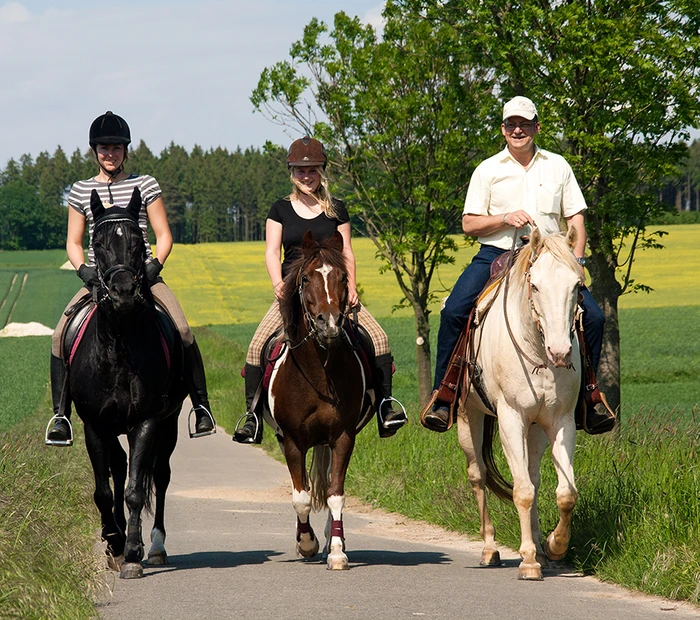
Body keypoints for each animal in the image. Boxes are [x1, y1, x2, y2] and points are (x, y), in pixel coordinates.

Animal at [69, 188, 187, 576]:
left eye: (137, 242)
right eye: (97, 242)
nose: (122, 292)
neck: (119, 347)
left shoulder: (145, 421)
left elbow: (136, 488)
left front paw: (133, 551)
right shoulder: (94, 424)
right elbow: (104, 490)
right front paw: (114, 540)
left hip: (169, 424)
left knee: (160, 476)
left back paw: (156, 547)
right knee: (118, 469)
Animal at [268, 230, 374, 568]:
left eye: (343, 277)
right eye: (305, 278)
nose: (329, 322)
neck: (318, 374)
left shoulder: (342, 436)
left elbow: (335, 494)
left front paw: (337, 550)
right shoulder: (291, 440)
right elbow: (301, 498)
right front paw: (306, 543)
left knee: (327, 484)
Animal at [460, 228, 584, 580]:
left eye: (577, 285)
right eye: (536, 285)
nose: (560, 352)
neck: (537, 352)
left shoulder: (560, 422)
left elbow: (565, 493)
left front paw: (554, 545)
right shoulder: (510, 419)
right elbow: (522, 491)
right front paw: (528, 561)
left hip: (535, 430)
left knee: (533, 475)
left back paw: (541, 548)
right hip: (468, 417)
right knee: (479, 475)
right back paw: (490, 549)